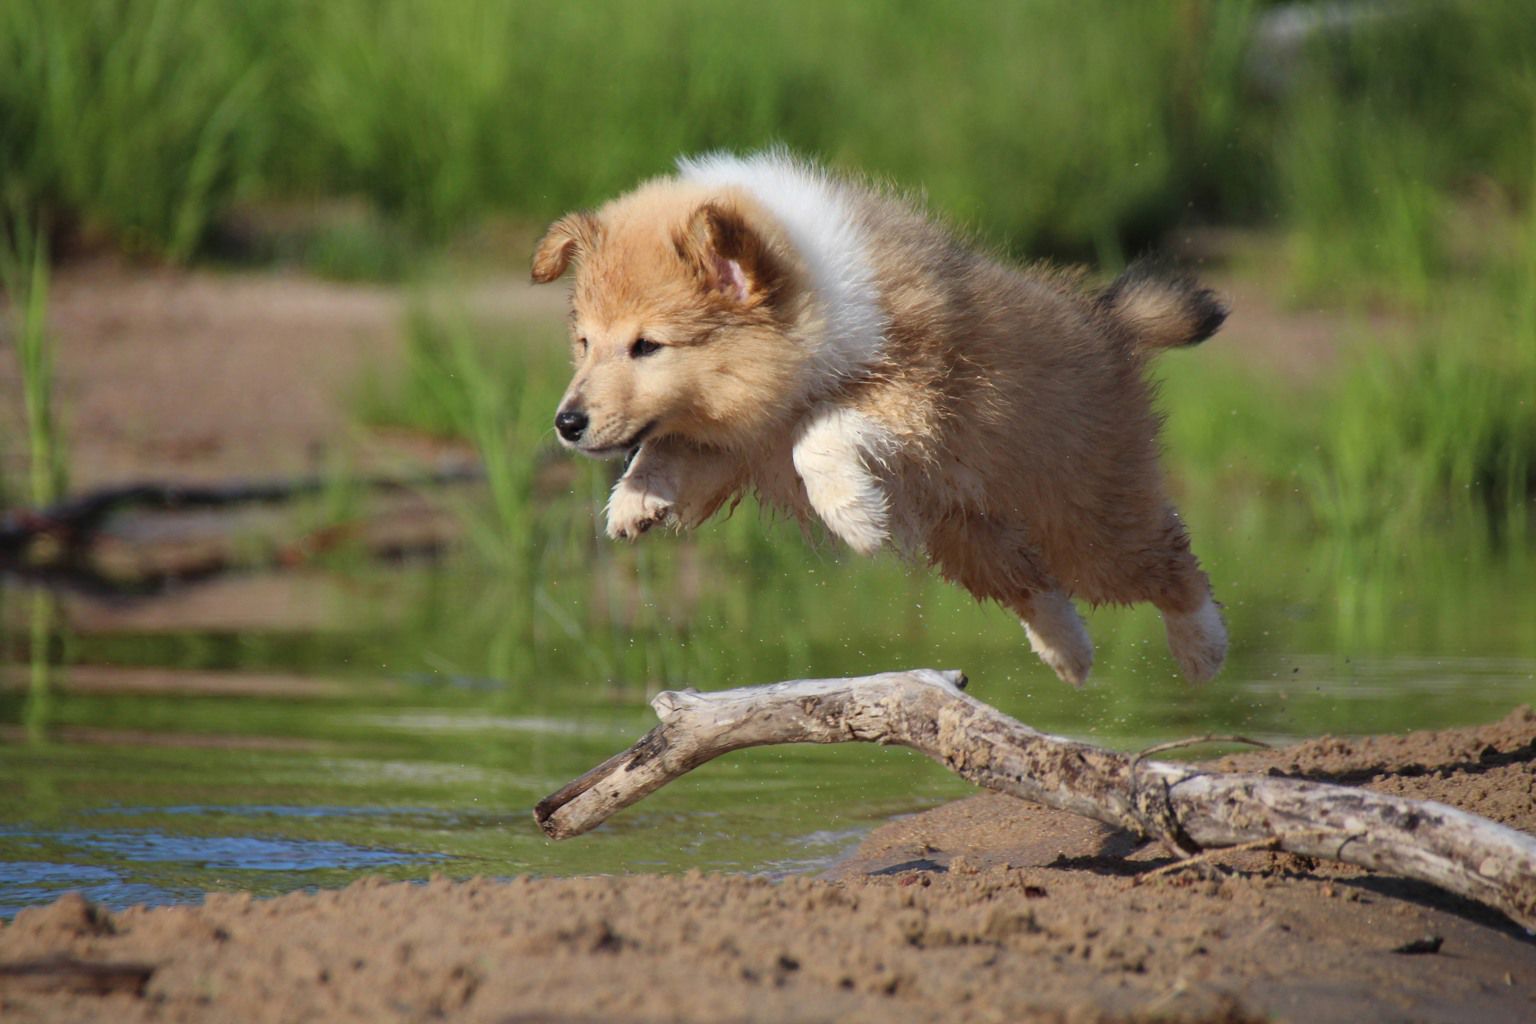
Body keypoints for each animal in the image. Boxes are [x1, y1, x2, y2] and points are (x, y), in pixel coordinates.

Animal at [534, 151, 1228, 684]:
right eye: (584, 342)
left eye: (647, 346)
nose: (567, 423)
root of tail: (1111, 324)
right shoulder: (737, 439)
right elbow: (671, 448)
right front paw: (634, 500)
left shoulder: (918, 398)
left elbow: (818, 438)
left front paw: (857, 517)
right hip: (970, 531)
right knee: (1034, 587)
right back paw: (1070, 655)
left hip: (1082, 518)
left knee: (1169, 556)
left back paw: (1203, 648)